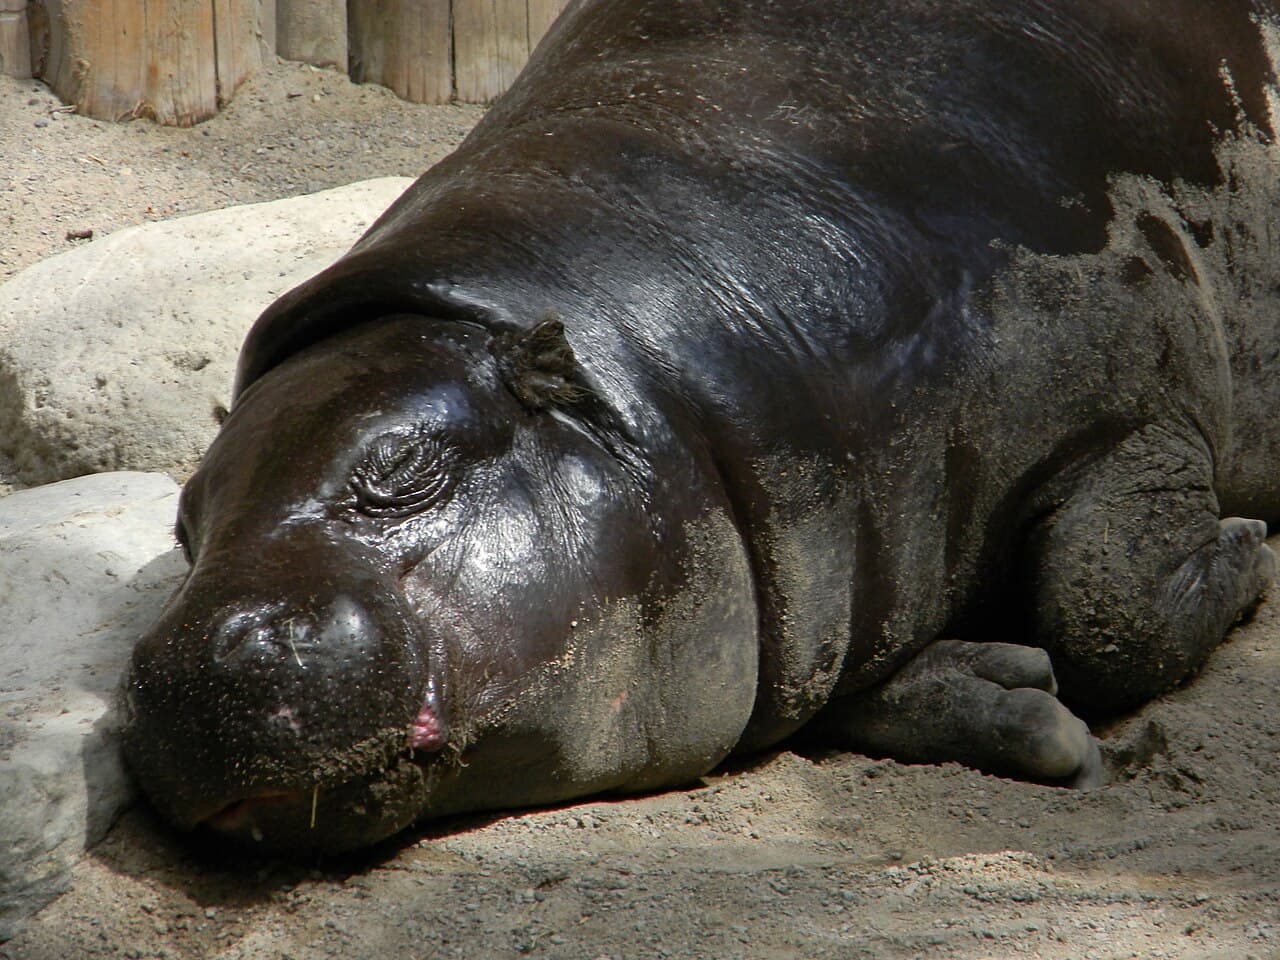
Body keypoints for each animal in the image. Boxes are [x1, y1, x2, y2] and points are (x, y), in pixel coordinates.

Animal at [124, 0, 1280, 853]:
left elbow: (1103, 600)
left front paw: (1245, 547)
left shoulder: (1133, 391)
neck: (637, 387)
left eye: (403, 464)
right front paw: (1016, 697)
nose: (188, 657)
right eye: (185, 522)